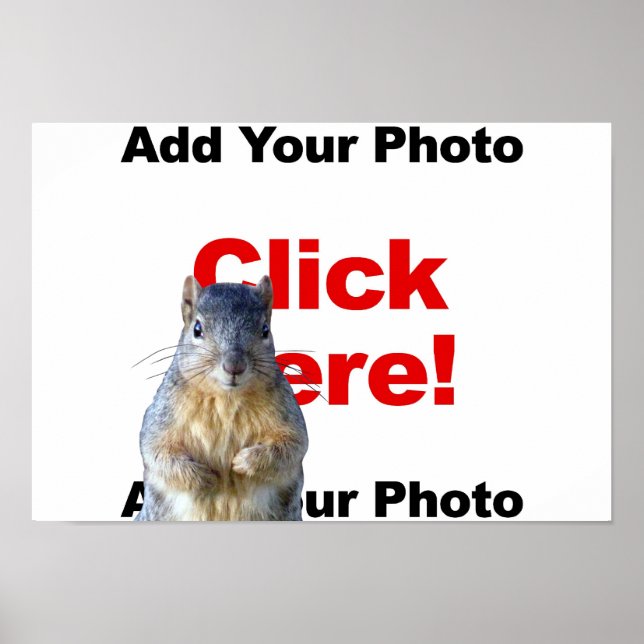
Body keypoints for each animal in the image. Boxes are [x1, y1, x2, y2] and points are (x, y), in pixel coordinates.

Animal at [135, 275, 308, 521]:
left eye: (265, 330)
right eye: (197, 329)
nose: (234, 365)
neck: (226, 398)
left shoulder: (287, 414)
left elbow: (293, 446)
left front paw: (243, 462)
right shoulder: (162, 417)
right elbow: (157, 452)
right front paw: (204, 477)